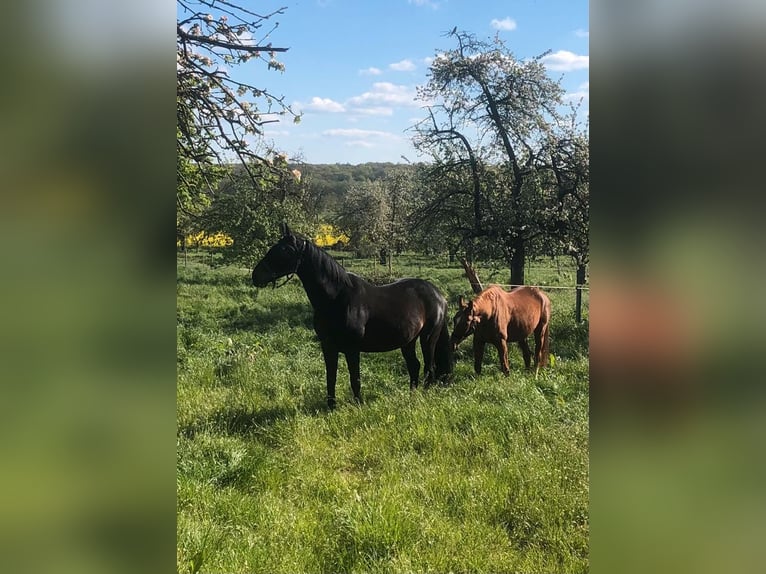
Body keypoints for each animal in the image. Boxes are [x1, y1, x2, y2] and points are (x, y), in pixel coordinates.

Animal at [255, 223, 452, 408]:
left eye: (285, 250)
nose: (256, 275)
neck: (337, 298)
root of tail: (439, 295)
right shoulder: (328, 347)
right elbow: (331, 377)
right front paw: (331, 406)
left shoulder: (352, 349)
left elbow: (354, 378)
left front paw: (358, 404)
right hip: (408, 341)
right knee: (414, 366)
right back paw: (412, 395)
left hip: (428, 338)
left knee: (429, 368)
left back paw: (423, 396)